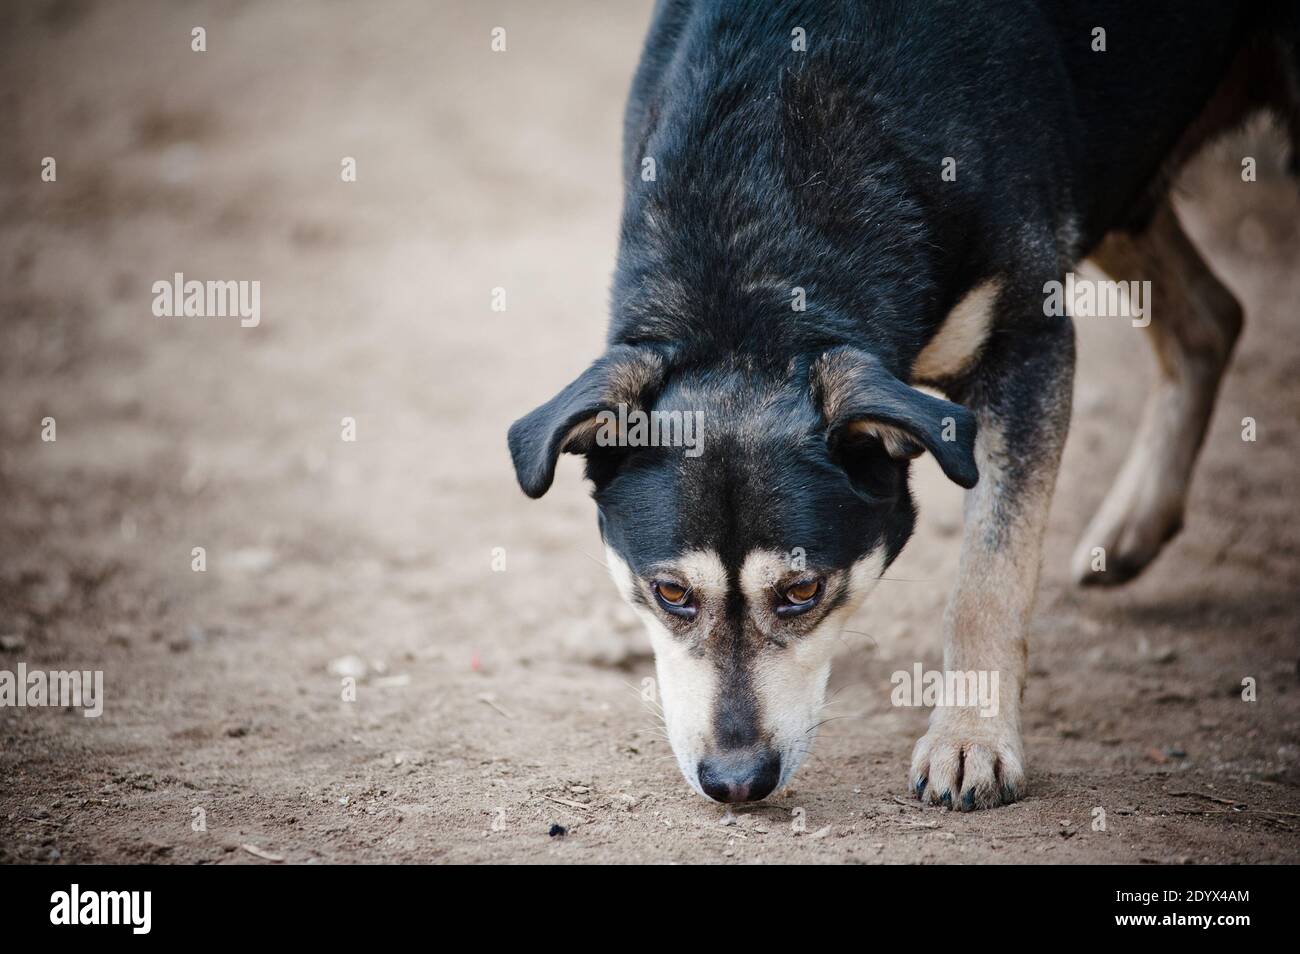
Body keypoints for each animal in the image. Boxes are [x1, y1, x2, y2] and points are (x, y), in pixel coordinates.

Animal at [506, 0, 1300, 811]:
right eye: (670, 592)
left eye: (802, 590)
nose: (735, 781)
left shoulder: (1029, 340)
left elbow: (990, 575)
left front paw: (971, 740)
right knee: (1212, 315)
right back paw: (1136, 524)